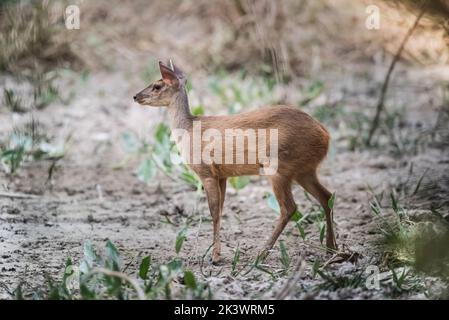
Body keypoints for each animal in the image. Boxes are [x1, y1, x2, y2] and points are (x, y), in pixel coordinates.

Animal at [133, 61, 336, 264]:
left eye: (157, 85)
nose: (135, 96)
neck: (189, 130)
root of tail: (325, 134)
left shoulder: (206, 172)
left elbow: (214, 212)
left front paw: (215, 257)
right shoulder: (222, 175)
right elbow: (221, 210)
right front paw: (217, 253)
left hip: (278, 166)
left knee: (289, 207)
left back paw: (262, 253)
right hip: (304, 170)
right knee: (326, 196)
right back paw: (331, 249)